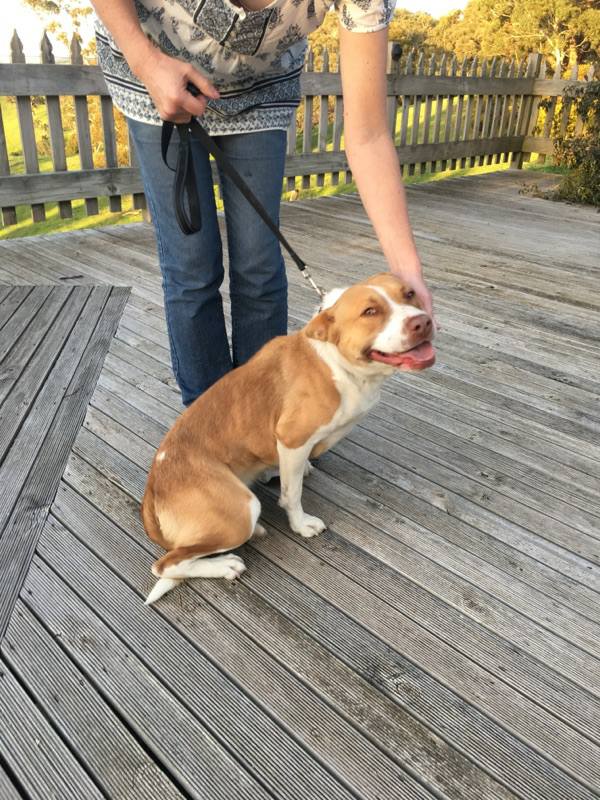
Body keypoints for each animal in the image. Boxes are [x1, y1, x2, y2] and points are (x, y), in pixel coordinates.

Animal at [142, 272, 435, 604]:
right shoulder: (293, 440)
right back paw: (224, 564)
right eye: (369, 312)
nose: (422, 322)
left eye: (410, 294)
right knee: (165, 565)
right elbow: (292, 493)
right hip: (241, 510)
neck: (336, 361)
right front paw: (301, 524)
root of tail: (152, 490)